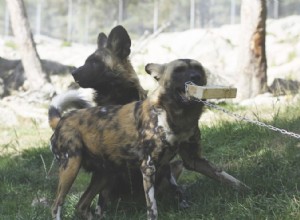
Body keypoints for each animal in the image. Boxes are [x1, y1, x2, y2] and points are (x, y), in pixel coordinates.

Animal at [49, 58, 247, 220]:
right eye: (179, 71)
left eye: (198, 69)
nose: (195, 76)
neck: (178, 117)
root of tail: (62, 119)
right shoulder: (148, 167)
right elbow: (152, 208)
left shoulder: (194, 160)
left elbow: (227, 178)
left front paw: (248, 190)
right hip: (71, 166)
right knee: (56, 205)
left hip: (105, 175)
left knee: (81, 206)